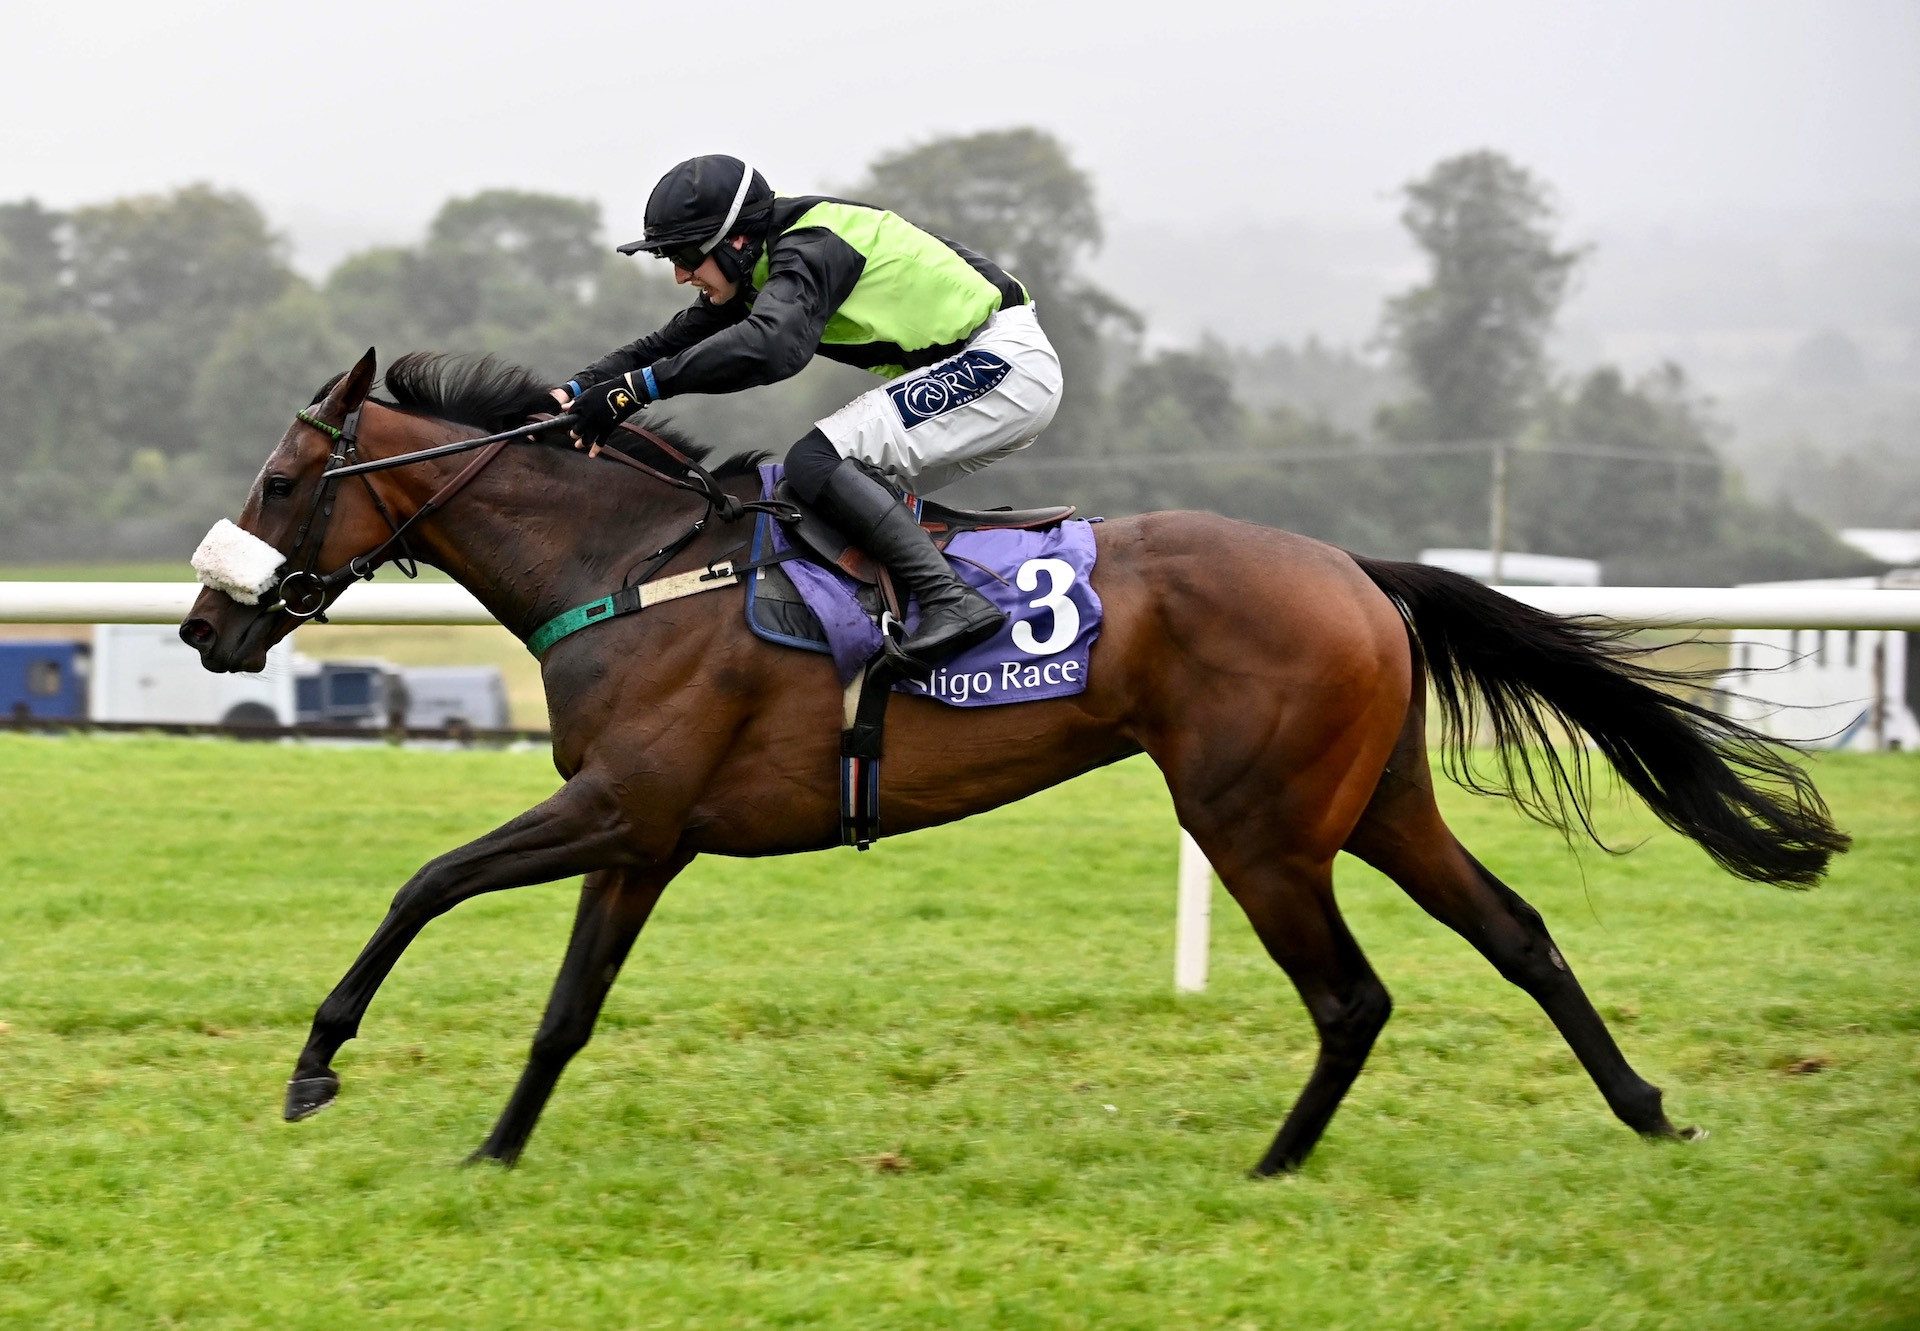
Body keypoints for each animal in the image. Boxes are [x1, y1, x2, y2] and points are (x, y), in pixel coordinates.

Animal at [180, 353, 1843, 1175]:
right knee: (1520, 934)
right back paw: (1646, 1108)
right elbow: (565, 1010)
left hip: (1255, 820)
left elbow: (424, 882)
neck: (634, 570)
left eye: (279, 475)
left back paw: (1276, 1163)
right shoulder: (643, 835)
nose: (203, 622)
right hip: (1371, 800)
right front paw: (497, 1146)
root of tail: (1356, 569)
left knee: (1352, 995)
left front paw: (318, 1062)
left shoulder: (617, 805)